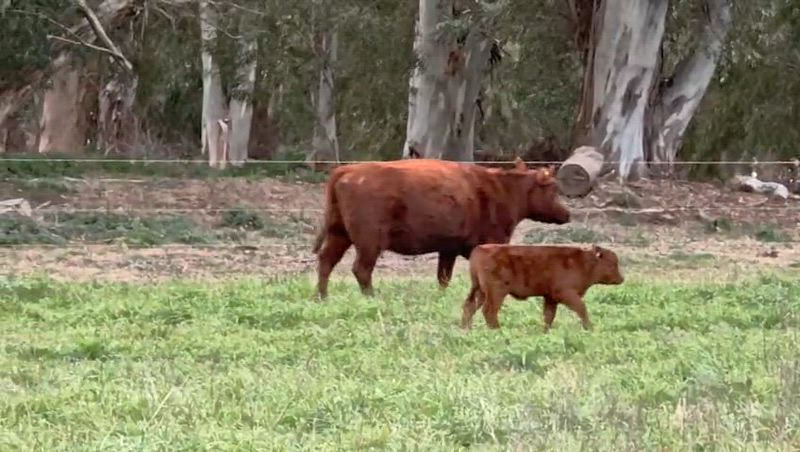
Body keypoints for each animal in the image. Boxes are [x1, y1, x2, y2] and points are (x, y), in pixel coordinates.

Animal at [311, 157, 572, 299]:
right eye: (553, 189)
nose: (567, 213)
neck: (500, 189)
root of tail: (347, 170)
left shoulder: (448, 249)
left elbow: (443, 278)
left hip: (339, 234)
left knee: (326, 262)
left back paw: (321, 297)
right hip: (369, 242)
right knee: (361, 270)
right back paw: (371, 297)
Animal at [461, 244, 624, 331]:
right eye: (612, 264)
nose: (621, 279)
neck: (583, 262)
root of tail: (480, 248)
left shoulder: (550, 298)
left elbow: (549, 316)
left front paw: (545, 331)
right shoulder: (566, 294)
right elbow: (581, 308)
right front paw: (590, 328)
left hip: (479, 291)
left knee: (469, 306)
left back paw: (466, 329)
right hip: (496, 293)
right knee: (489, 311)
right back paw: (497, 330)